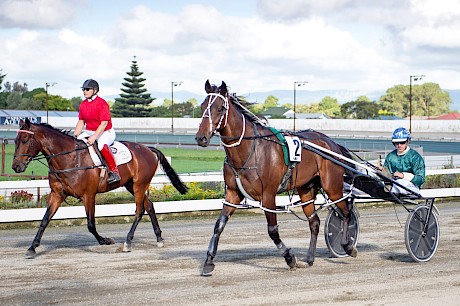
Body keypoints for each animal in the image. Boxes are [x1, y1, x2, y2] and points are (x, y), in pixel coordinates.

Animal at [13, 118, 189, 256]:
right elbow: (44, 220)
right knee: (150, 206)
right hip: (131, 185)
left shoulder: (89, 195)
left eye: (25, 140)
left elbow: (91, 224)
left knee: (139, 211)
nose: (16, 166)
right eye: (15, 141)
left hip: (139, 185)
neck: (69, 158)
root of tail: (147, 148)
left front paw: (105, 240)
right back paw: (159, 238)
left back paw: (127, 242)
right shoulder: (56, 195)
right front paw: (32, 247)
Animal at [196, 80, 358, 276]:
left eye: (220, 108)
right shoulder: (233, 194)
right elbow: (219, 225)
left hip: (332, 187)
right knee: (315, 222)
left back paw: (348, 246)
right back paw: (310, 258)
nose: (201, 137)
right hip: (306, 189)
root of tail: (332, 143)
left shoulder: (268, 195)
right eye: (202, 106)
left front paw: (289, 258)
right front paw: (208, 262)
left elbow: (272, 231)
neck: (250, 149)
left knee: (345, 213)